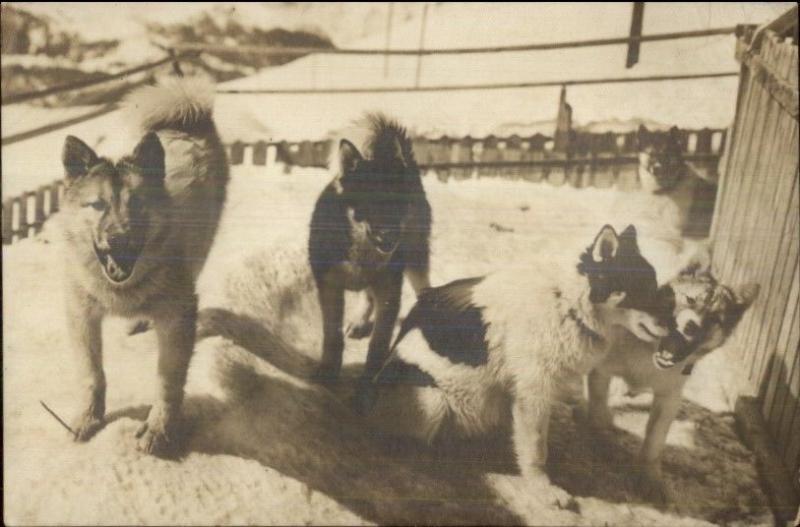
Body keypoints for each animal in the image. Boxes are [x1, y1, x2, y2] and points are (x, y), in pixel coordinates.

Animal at [58, 75, 228, 458]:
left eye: (136, 203)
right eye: (97, 205)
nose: (119, 239)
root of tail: (187, 116)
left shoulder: (178, 317)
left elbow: (168, 382)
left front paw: (159, 431)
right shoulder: (81, 315)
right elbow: (92, 374)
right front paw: (88, 419)